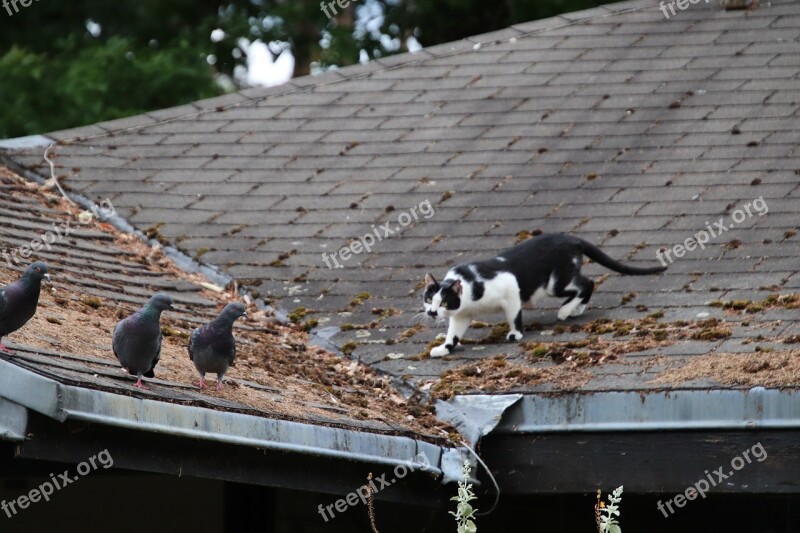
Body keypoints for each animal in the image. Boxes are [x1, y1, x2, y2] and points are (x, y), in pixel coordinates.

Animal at [424, 234, 668, 356]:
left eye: (444, 301)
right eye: (428, 299)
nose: (432, 312)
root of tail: (570, 238)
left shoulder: (510, 287)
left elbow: (513, 315)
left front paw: (515, 334)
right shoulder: (461, 315)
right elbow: (453, 334)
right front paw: (444, 348)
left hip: (555, 283)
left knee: (587, 283)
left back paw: (565, 311)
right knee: (585, 284)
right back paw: (576, 309)